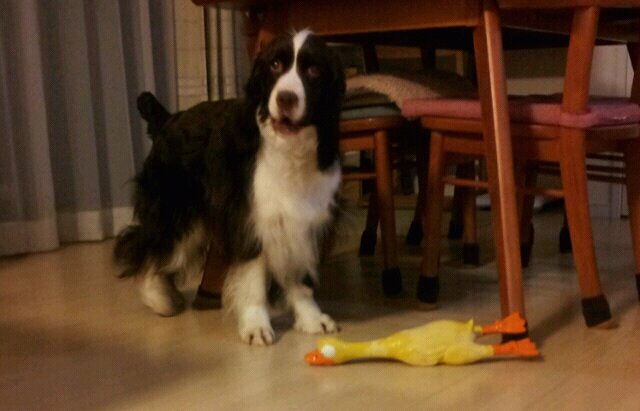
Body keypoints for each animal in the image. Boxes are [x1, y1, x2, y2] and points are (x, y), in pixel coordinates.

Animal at [114, 29, 345, 345]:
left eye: (313, 70)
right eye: (275, 65)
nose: (286, 98)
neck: (289, 151)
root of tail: (168, 118)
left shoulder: (308, 221)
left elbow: (300, 277)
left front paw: (311, 319)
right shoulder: (250, 219)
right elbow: (253, 277)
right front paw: (256, 326)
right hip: (176, 207)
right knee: (146, 244)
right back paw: (160, 298)